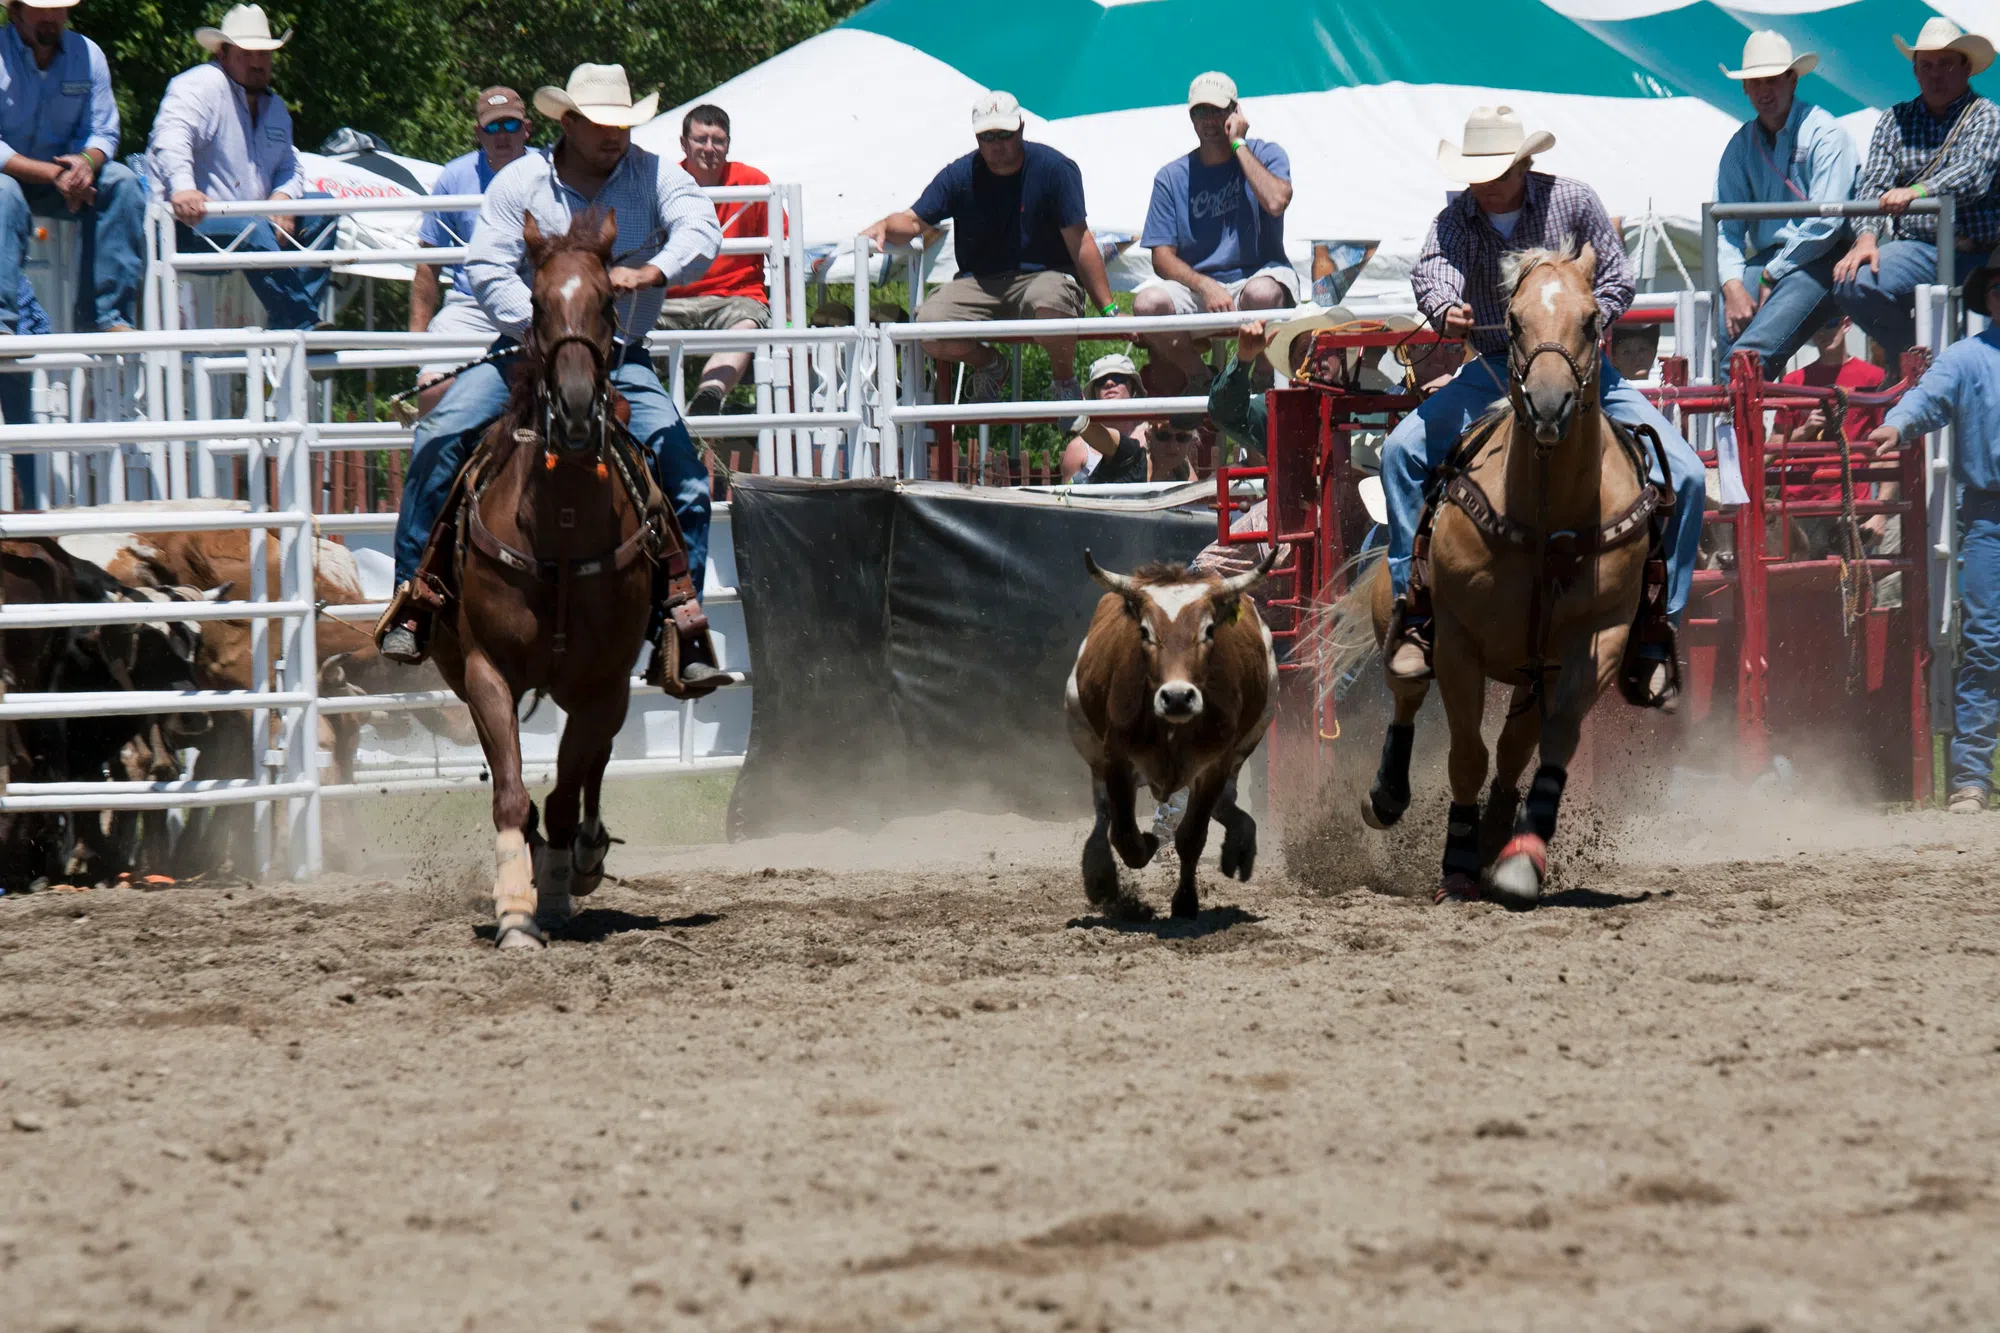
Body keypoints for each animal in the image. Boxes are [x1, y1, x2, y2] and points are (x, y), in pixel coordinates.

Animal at [434, 210, 660, 944]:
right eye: (535, 303)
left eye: (610, 301)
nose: (578, 408)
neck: (559, 525)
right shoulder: (485, 670)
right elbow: (512, 794)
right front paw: (515, 908)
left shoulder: (604, 685)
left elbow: (566, 792)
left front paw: (557, 888)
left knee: (591, 769)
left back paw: (583, 857)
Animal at [1064, 544, 1280, 920]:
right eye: (1145, 632)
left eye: (1209, 630)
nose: (1178, 697)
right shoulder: (1116, 758)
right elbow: (1124, 834)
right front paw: (1147, 844)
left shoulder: (1215, 764)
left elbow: (1192, 836)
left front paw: (1185, 902)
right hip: (1084, 732)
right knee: (1103, 811)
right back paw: (1099, 873)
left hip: (1249, 738)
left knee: (1226, 800)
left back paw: (1239, 845)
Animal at [1360, 241, 1672, 904]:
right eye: (1513, 320)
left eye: (1592, 321)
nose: (1550, 405)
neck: (1548, 513)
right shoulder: (1457, 642)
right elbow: (1466, 755)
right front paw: (1456, 861)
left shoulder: (1599, 640)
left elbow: (1554, 743)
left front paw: (1520, 859)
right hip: (1402, 625)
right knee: (1407, 693)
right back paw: (1389, 797)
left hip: (1535, 672)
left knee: (1513, 750)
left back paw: (1497, 835)